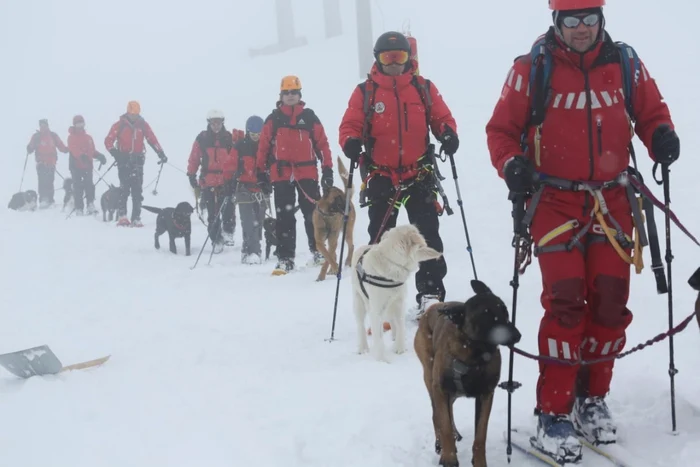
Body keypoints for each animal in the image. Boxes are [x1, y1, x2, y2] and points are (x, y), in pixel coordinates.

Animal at [350, 224, 442, 362]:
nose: (437, 253)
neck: (391, 263)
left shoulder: (399, 302)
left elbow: (400, 327)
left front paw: (400, 349)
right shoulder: (376, 310)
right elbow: (379, 339)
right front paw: (381, 361)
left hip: (390, 306)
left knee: (392, 322)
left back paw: (393, 337)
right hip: (359, 302)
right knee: (361, 326)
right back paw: (363, 348)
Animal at [416, 282, 520, 467]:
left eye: (505, 311)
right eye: (486, 315)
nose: (517, 336)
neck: (475, 354)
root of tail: (432, 308)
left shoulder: (486, 395)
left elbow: (480, 434)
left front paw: (479, 461)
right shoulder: (440, 389)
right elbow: (444, 425)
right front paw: (449, 457)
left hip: (451, 393)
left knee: (448, 409)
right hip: (430, 379)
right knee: (436, 415)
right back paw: (440, 443)